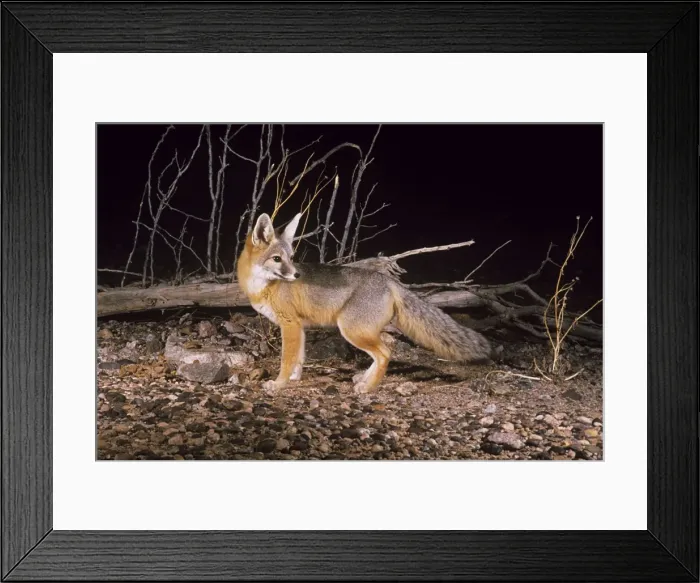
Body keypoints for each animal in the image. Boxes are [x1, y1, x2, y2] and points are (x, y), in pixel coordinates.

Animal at [236, 212, 495, 394]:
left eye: (291, 258)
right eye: (277, 259)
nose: (296, 275)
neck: (262, 287)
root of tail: (389, 281)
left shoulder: (289, 324)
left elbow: (287, 359)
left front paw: (278, 384)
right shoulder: (298, 327)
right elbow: (298, 358)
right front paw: (293, 379)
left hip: (352, 330)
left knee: (385, 353)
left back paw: (368, 388)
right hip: (362, 331)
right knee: (385, 349)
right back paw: (365, 379)